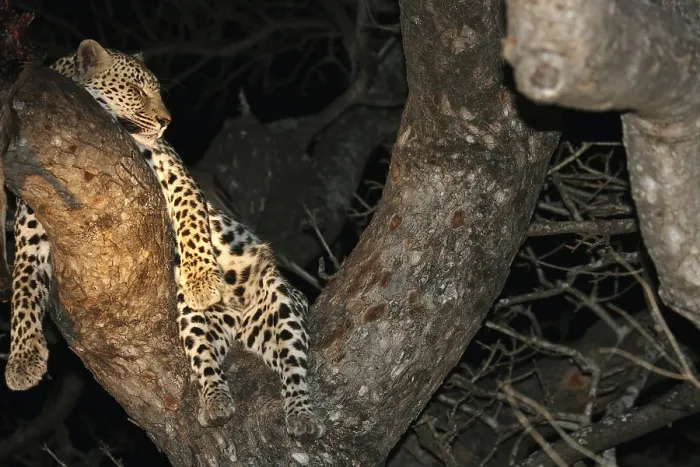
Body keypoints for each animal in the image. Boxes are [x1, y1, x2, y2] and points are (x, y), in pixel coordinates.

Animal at [3, 39, 325, 439]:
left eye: (156, 91)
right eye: (136, 90)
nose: (166, 122)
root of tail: (240, 322)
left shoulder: (175, 174)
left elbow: (191, 222)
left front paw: (203, 280)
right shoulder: (31, 225)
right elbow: (23, 286)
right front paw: (23, 360)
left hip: (280, 303)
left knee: (293, 366)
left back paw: (301, 414)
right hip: (193, 321)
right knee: (206, 361)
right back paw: (216, 402)